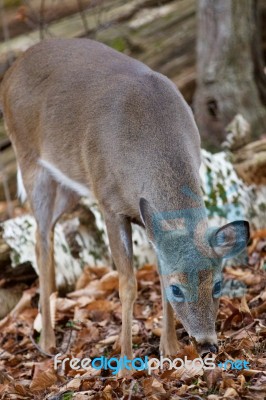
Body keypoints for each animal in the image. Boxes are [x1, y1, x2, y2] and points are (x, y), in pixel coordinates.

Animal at [0, 38, 249, 368]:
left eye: (218, 284)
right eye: (177, 289)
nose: (208, 344)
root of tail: (12, 68)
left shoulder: (149, 219)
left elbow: (157, 271)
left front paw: (169, 348)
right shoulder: (110, 206)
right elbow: (128, 285)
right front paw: (126, 364)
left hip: (69, 183)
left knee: (49, 234)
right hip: (29, 160)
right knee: (40, 241)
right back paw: (48, 341)